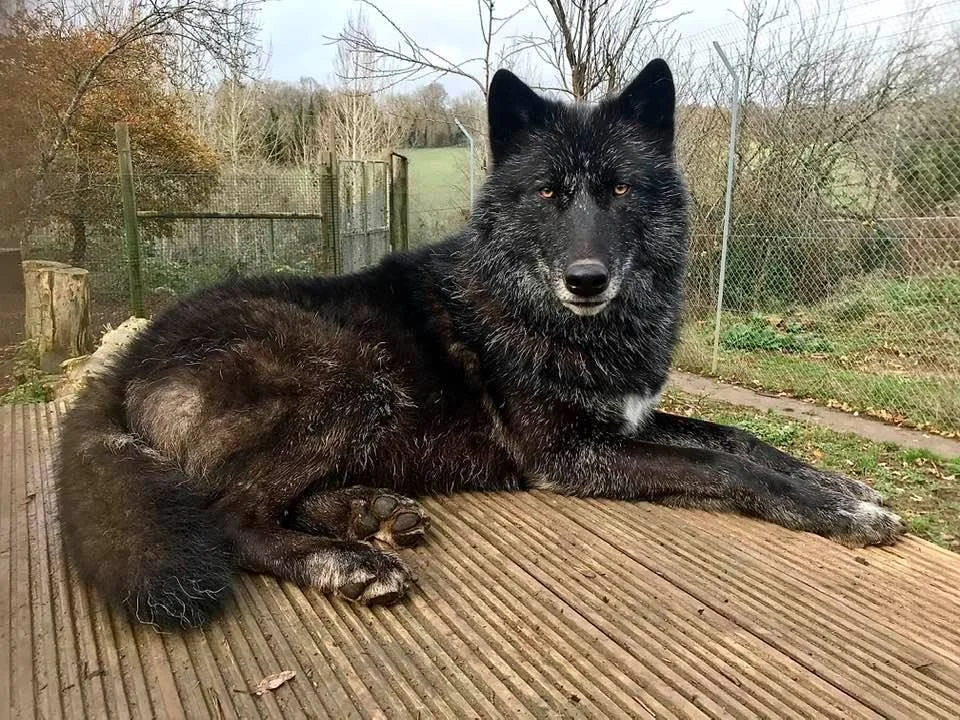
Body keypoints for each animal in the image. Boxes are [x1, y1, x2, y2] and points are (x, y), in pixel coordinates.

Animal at [56, 59, 903, 629]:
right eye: (550, 193)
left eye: (619, 189)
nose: (586, 279)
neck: (555, 317)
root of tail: (126, 357)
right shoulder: (572, 456)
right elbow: (722, 467)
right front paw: (838, 513)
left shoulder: (631, 417)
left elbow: (739, 438)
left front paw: (841, 487)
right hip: (349, 374)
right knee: (228, 511)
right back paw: (351, 562)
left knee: (267, 495)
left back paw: (370, 511)